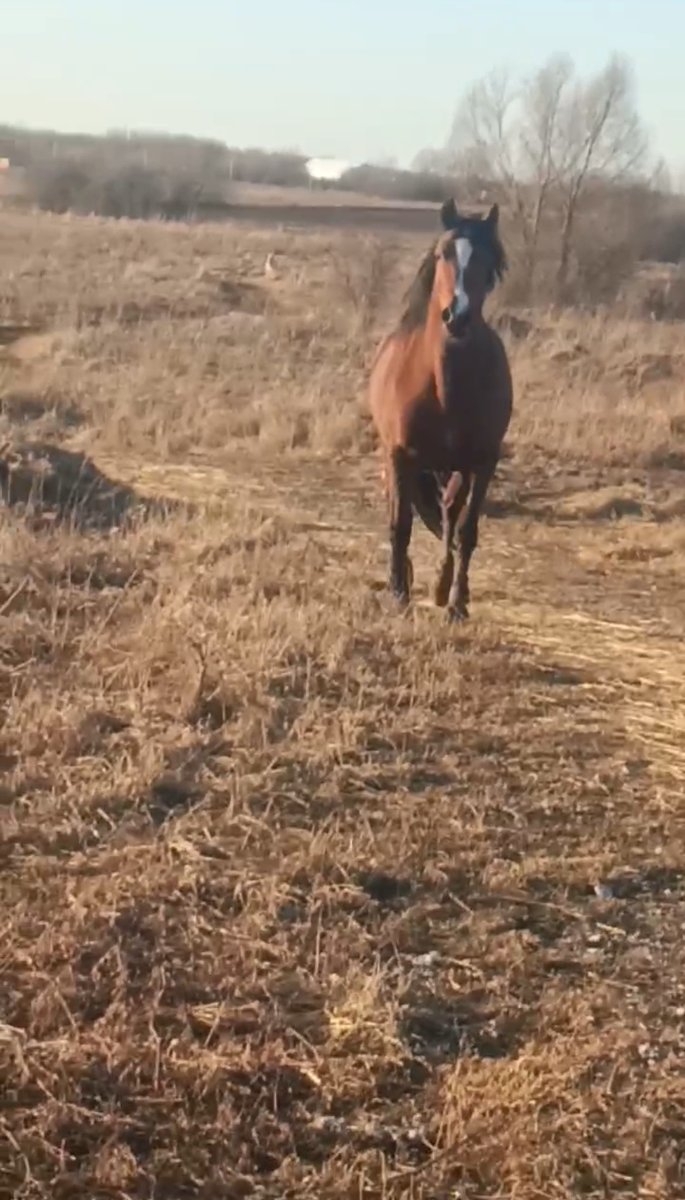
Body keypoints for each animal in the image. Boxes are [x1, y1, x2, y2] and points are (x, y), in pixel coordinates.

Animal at [369, 197, 513, 621]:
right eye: (443, 253)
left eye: (489, 260)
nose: (457, 316)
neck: (444, 385)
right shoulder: (401, 455)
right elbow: (400, 523)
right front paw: (398, 592)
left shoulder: (482, 462)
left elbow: (466, 528)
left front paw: (456, 603)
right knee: (400, 510)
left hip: (454, 468)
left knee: (449, 511)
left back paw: (440, 585)